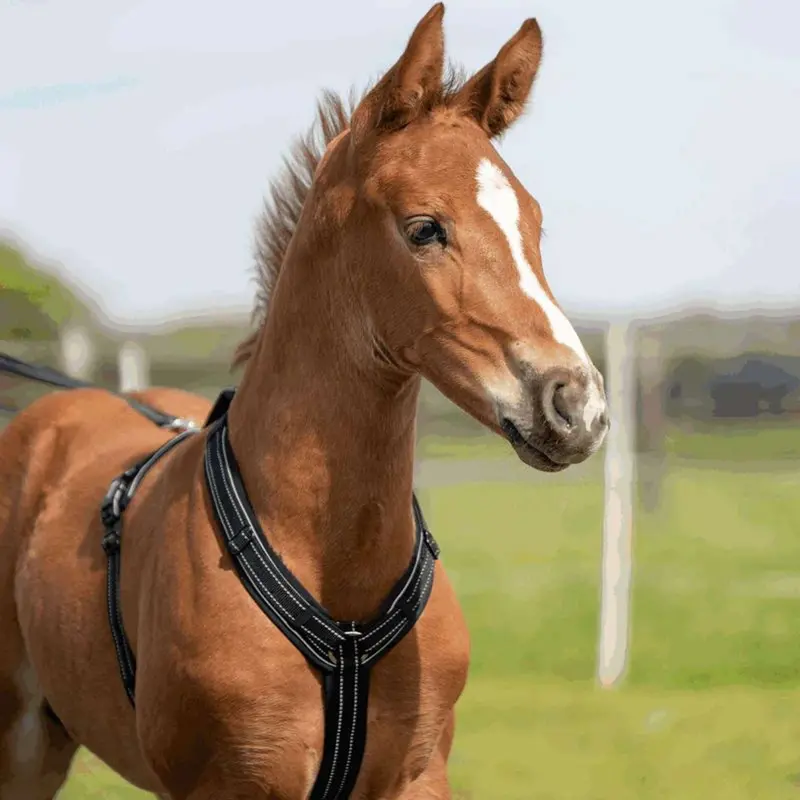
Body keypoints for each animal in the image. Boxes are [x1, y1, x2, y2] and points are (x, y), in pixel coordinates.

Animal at [0, 5, 609, 798]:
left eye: (533, 223)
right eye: (424, 228)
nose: (577, 406)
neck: (336, 576)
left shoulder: (418, 775)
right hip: (21, 740)